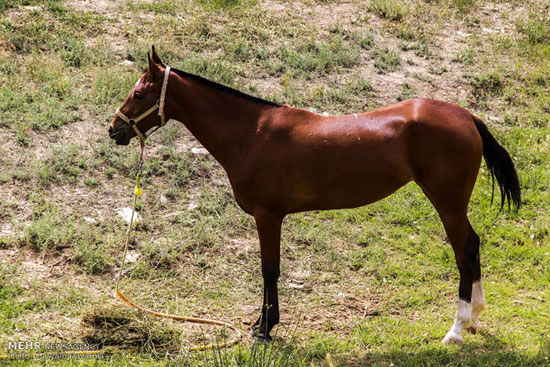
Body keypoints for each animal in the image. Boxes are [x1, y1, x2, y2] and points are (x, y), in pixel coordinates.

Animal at [108, 46, 520, 344]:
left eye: (139, 93)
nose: (114, 129)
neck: (251, 133)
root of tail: (467, 117)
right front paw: (261, 324)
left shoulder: (268, 215)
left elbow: (269, 270)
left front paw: (265, 329)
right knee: (474, 246)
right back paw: (474, 320)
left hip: (448, 204)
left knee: (465, 252)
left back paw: (456, 329)